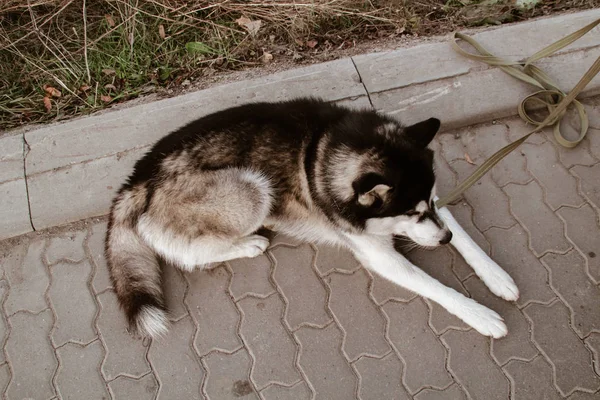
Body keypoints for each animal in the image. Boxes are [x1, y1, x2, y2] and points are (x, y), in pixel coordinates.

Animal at [106, 97, 520, 338]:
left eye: (428, 205)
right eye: (410, 213)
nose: (442, 240)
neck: (335, 148)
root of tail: (139, 174)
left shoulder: (438, 202)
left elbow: (465, 235)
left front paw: (496, 276)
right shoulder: (379, 255)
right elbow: (437, 287)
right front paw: (479, 313)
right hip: (253, 188)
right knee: (187, 252)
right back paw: (249, 243)